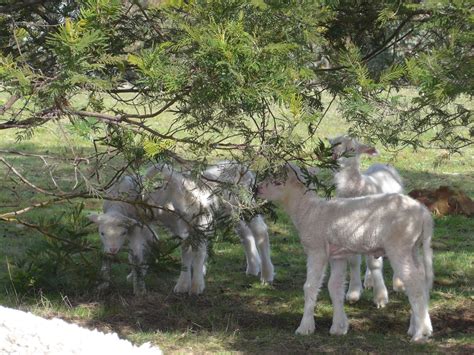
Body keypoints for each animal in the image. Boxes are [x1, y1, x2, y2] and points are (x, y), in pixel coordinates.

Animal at [146, 161, 274, 294]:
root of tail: (242, 168)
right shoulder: (186, 231)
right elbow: (185, 254)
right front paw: (182, 285)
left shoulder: (202, 224)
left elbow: (199, 253)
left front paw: (196, 286)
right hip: (233, 212)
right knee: (246, 235)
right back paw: (253, 268)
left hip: (246, 205)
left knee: (260, 231)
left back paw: (267, 275)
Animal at [258, 165, 436, 344]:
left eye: (278, 182)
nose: (257, 189)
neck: (308, 211)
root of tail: (423, 213)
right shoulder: (337, 255)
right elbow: (335, 287)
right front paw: (339, 327)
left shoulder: (317, 250)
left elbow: (310, 286)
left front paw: (305, 327)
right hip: (413, 247)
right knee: (421, 279)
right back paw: (419, 327)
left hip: (399, 246)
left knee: (414, 284)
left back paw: (420, 334)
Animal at [330, 136, 404, 308]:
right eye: (333, 145)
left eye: (352, 149)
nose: (335, 157)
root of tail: (382, 165)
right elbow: (353, 262)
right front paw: (353, 292)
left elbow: (375, 264)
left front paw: (381, 297)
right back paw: (369, 281)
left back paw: (398, 284)